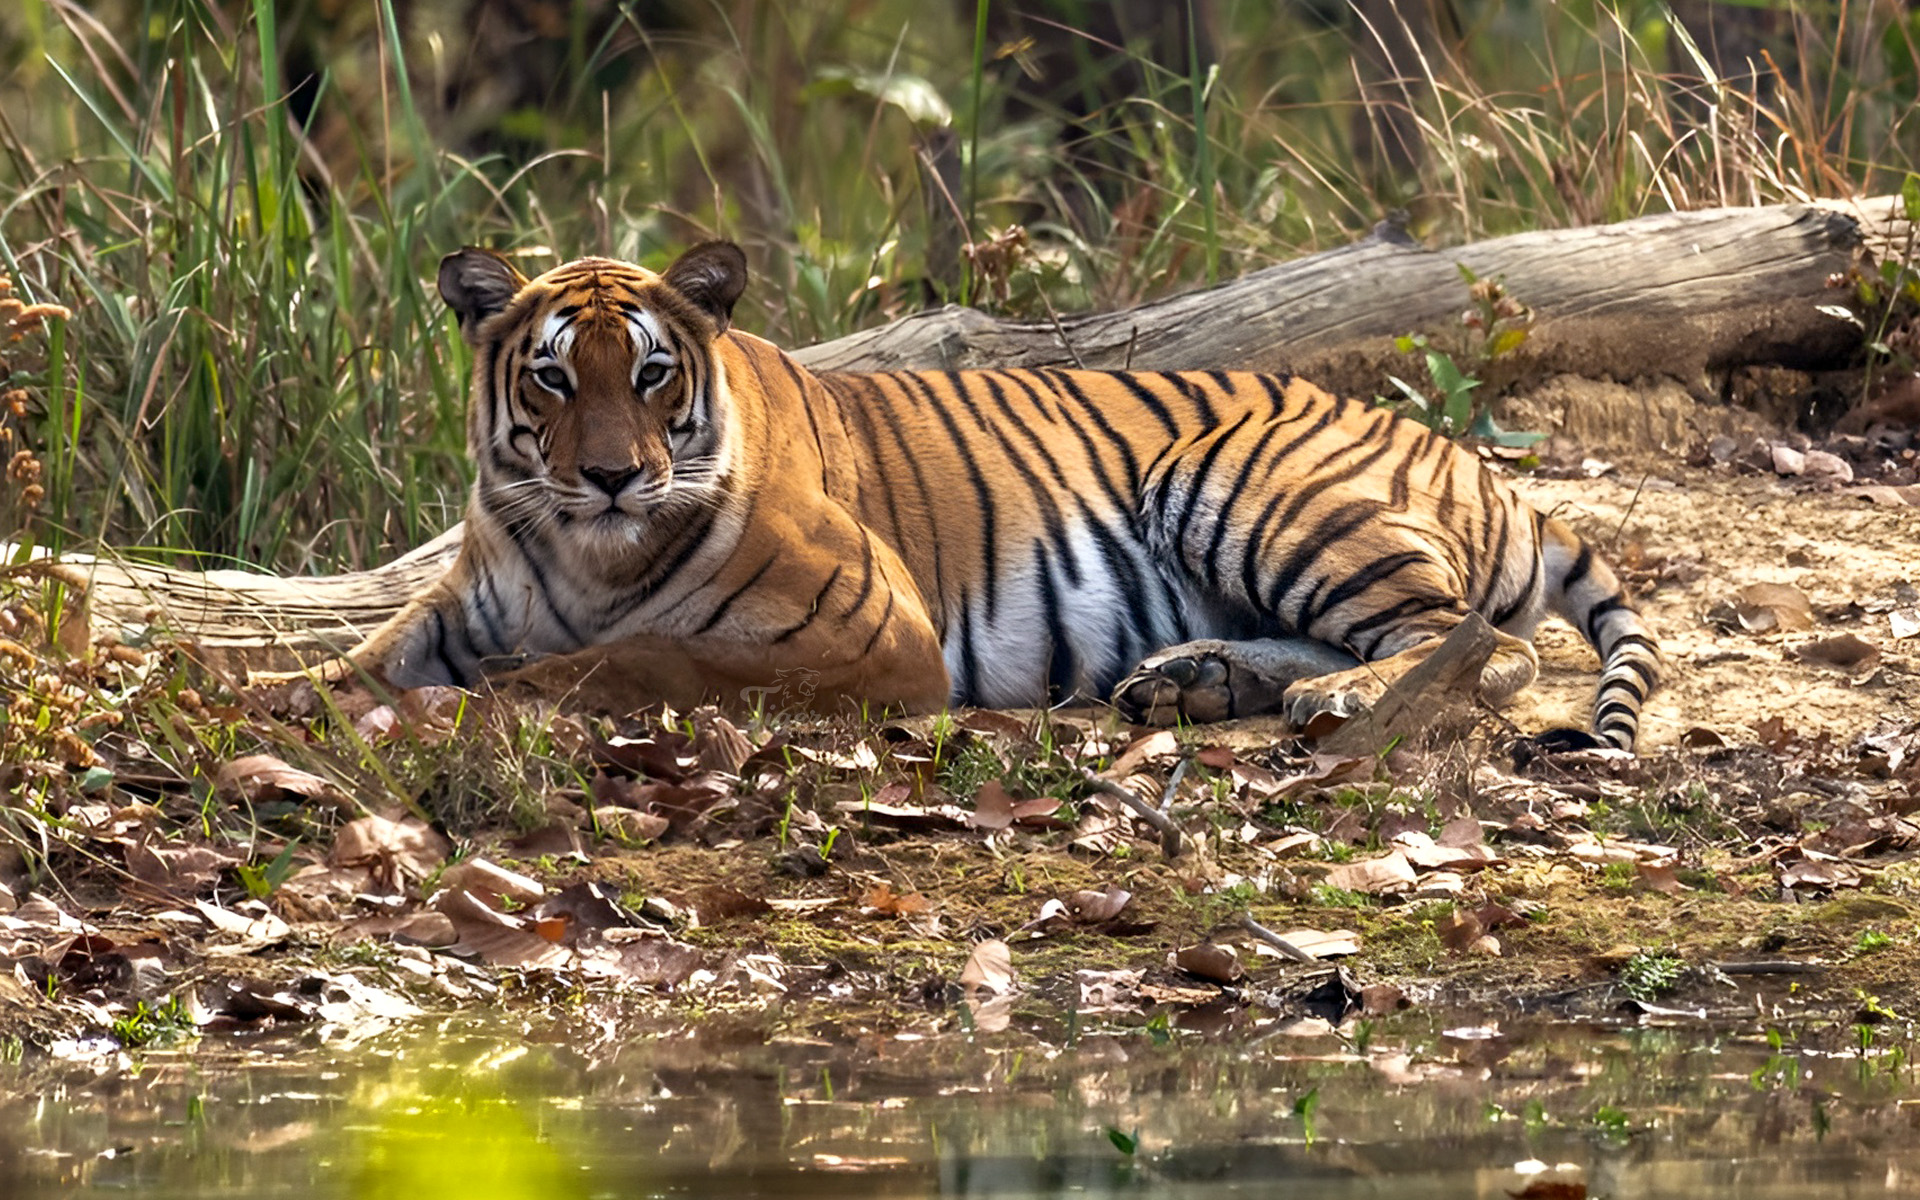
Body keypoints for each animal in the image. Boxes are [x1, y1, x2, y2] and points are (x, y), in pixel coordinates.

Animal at [329, 241, 1660, 751]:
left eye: (653, 375)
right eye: (552, 377)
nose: (610, 475)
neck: (583, 550)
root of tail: (1460, 453)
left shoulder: (872, 634)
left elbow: (636, 657)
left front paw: (510, 693)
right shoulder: (456, 610)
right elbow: (352, 665)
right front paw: (294, 698)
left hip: (1255, 488)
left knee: (1479, 644)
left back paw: (1342, 699)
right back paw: (1199, 680)